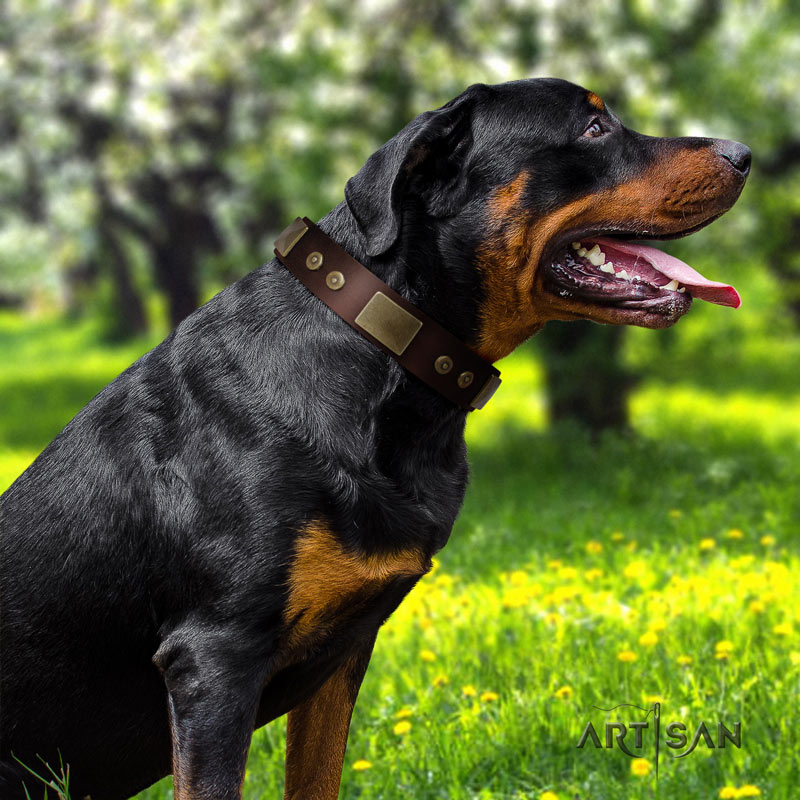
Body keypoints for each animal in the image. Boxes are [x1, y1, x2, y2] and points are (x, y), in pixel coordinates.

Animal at [0, 79, 752, 800]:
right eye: (594, 127)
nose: (743, 152)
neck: (386, 345)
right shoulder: (214, 655)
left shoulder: (341, 654)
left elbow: (317, 782)